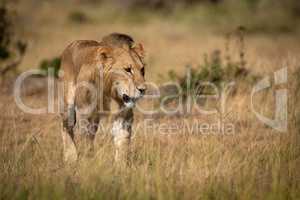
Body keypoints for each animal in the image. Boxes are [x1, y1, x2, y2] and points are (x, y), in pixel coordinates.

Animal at [59, 32, 146, 163]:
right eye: (127, 70)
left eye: (142, 70)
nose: (143, 89)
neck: (110, 93)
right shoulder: (86, 115)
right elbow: (86, 142)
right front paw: (87, 162)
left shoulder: (123, 116)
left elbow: (122, 142)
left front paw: (120, 165)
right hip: (69, 105)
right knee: (66, 127)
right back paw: (70, 157)